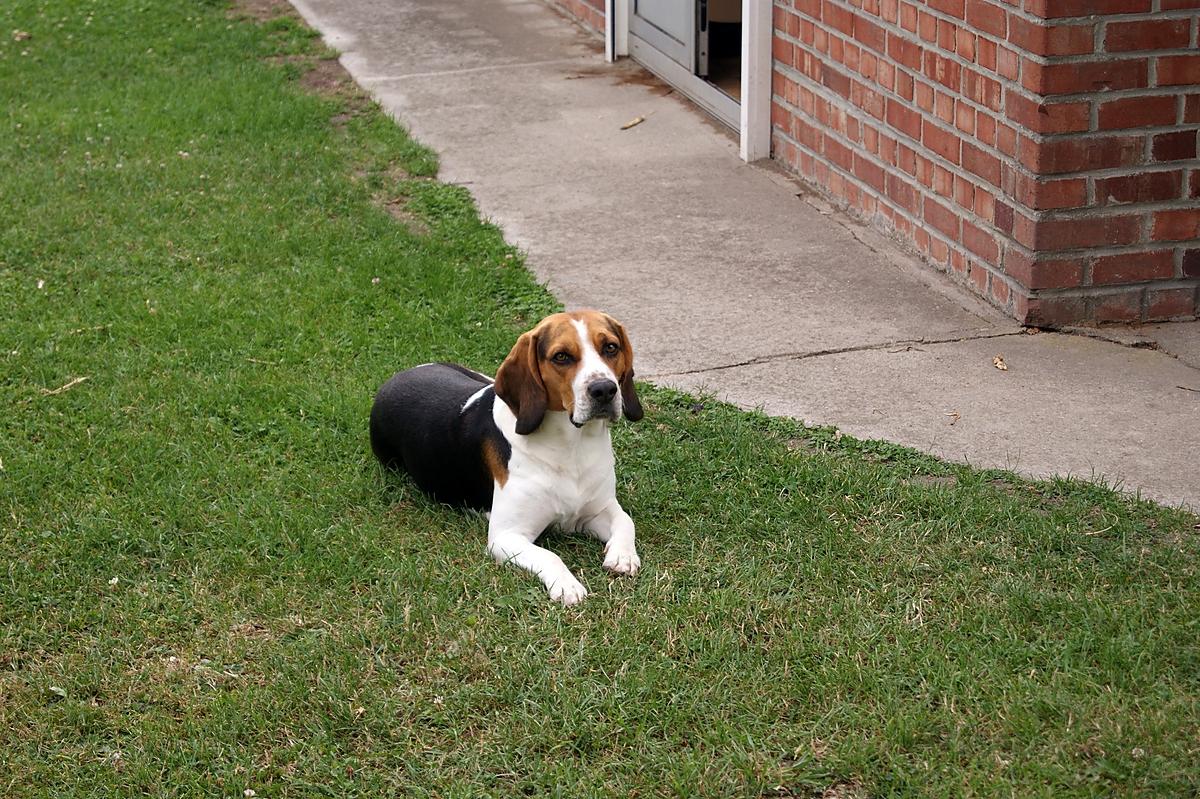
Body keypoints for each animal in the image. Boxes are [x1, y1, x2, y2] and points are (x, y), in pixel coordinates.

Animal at [369, 311, 643, 604]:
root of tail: (398, 376)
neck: (573, 446)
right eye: (561, 356)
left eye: (611, 347)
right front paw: (567, 586)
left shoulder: (596, 510)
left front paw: (623, 556)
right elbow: (550, 556)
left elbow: (626, 520)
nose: (604, 390)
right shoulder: (506, 536)